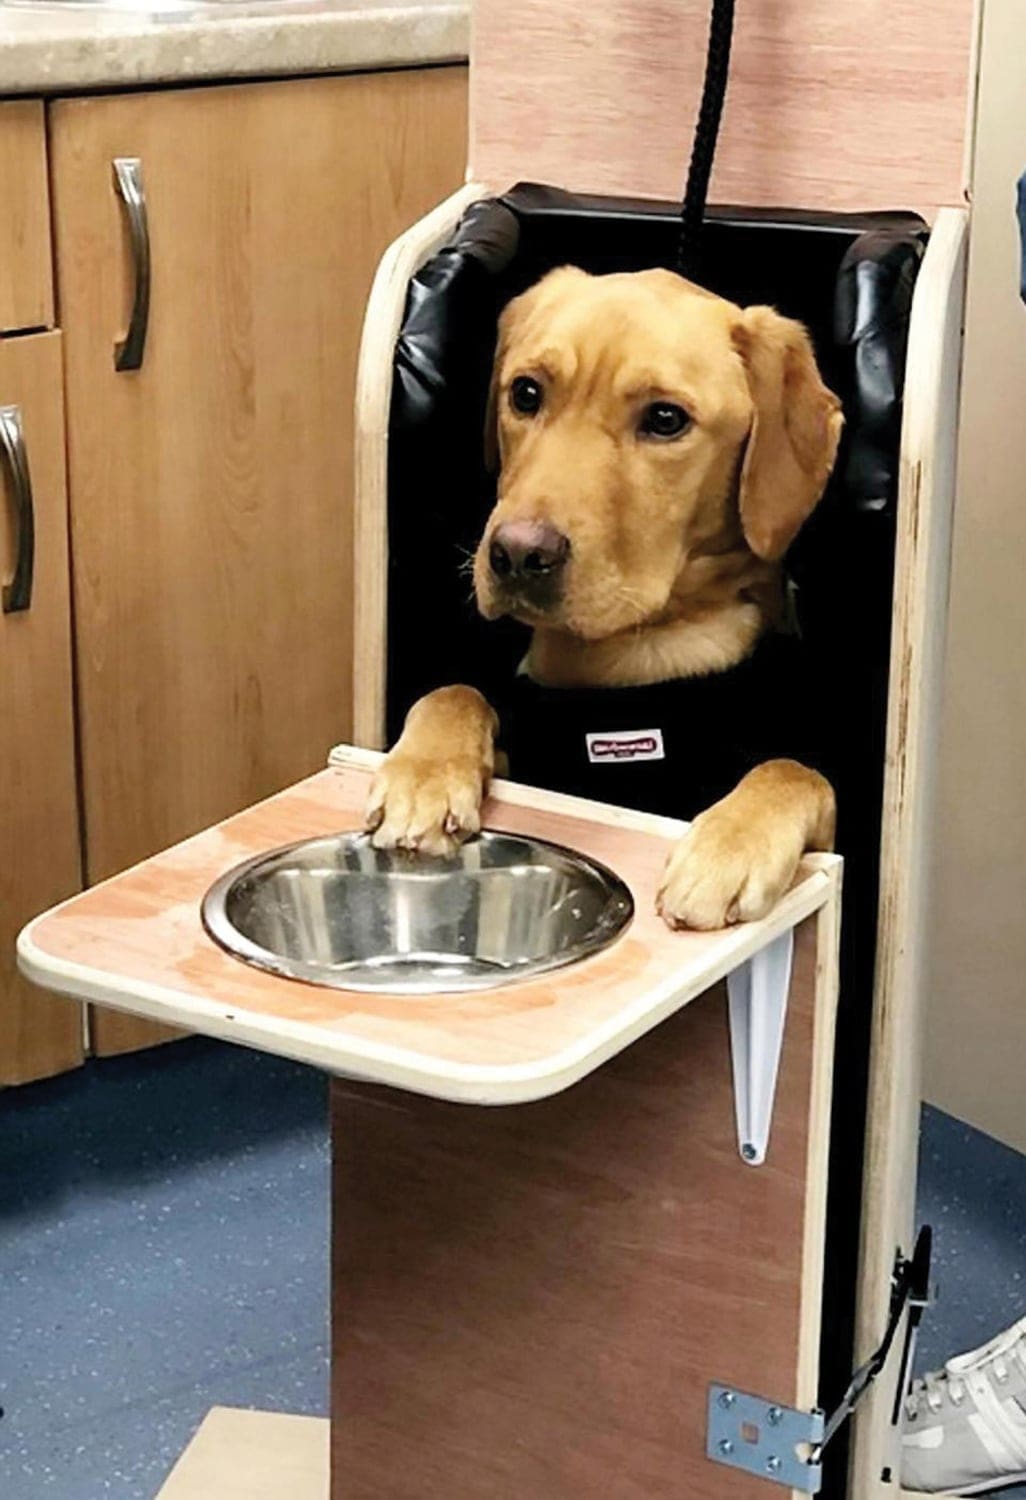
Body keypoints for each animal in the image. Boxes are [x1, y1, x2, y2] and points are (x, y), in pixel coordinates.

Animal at [366, 267, 840, 924]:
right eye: (526, 393)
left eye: (665, 419)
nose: (517, 555)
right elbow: (455, 690)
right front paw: (423, 775)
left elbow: (794, 768)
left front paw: (730, 847)